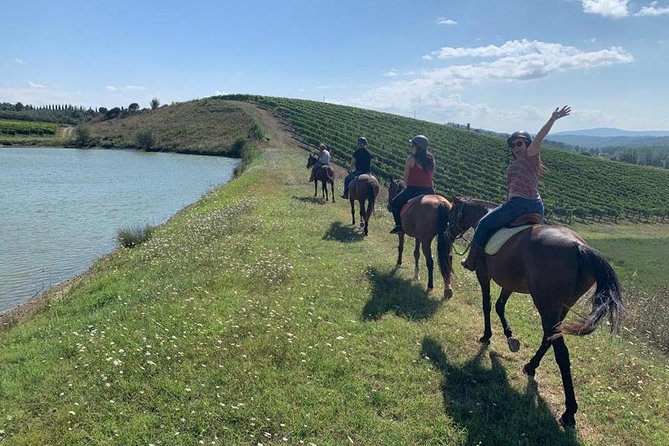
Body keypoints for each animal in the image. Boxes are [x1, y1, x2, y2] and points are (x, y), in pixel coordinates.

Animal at [440, 197, 624, 426]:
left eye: (452, 212)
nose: (447, 233)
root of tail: (579, 247)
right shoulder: (509, 282)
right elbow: (500, 305)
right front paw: (510, 338)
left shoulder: (484, 274)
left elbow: (487, 304)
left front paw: (486, 336)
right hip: (560, 307)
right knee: (550, 336)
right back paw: (530, 366)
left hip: (546, 304)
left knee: (561, 351)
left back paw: (569, 412)